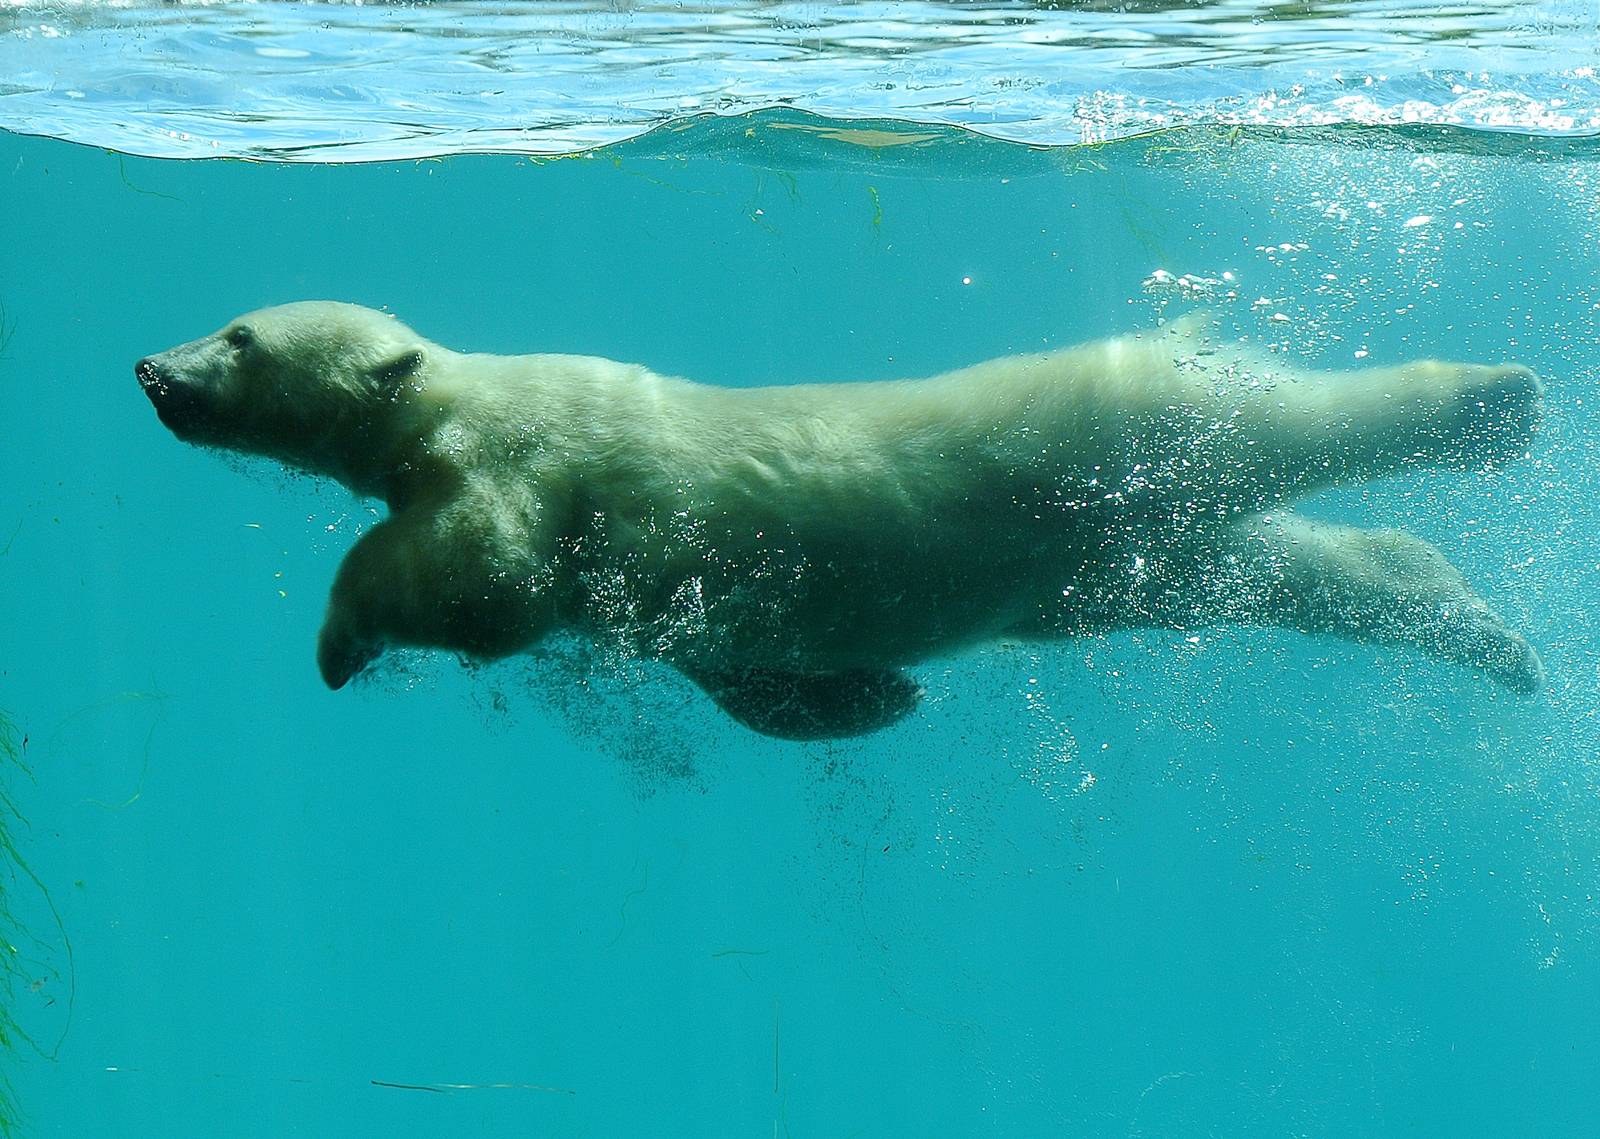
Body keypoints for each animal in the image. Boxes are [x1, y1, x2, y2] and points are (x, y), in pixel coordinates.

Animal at [136, 301, 1545, 740]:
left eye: (240, 334)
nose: (150, 367)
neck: (461, 394)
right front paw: (869, 695)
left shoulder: (527, 461)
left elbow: (482, 581)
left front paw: (339, 638)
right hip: (1110, 554)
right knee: (1294, 564)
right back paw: (1492, 631)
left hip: (1091, 432)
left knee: (1275, 424)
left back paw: (1496, 402)